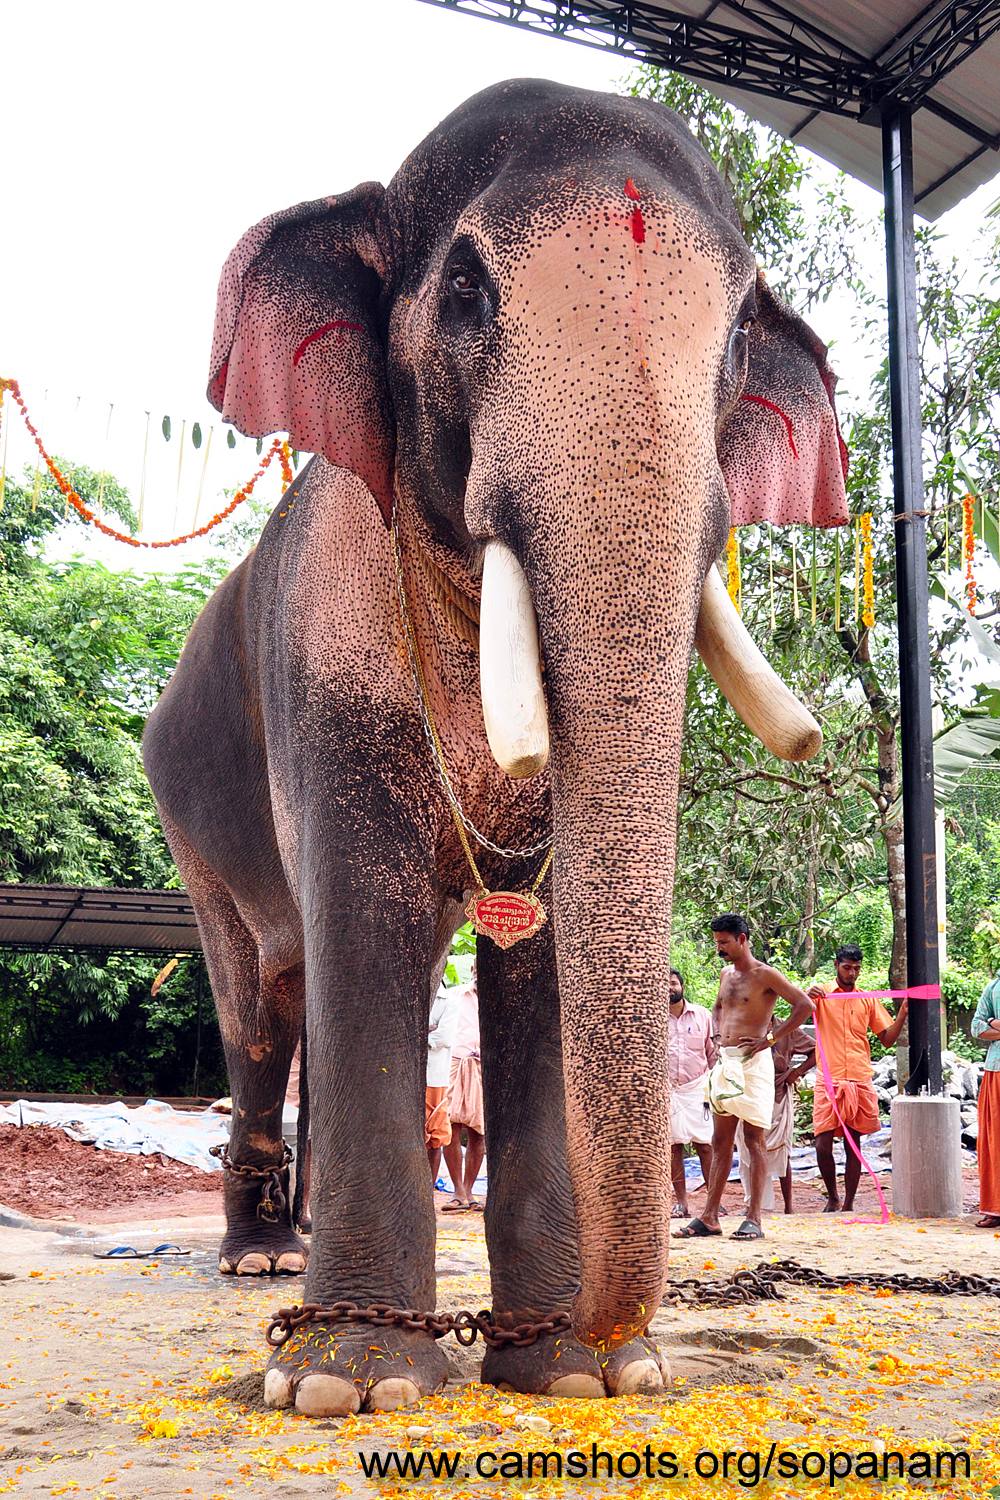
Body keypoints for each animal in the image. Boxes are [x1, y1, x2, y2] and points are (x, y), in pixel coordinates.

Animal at [142, 79, 845, 1416]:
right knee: (263, 1002)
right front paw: (346, 1386)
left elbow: (542, 944)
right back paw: (262, 1264)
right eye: (466, 292)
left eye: (739, 338)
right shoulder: (329, 645)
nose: (625, 1335)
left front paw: (574, 1372)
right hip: (189, 823)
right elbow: (365, 910)